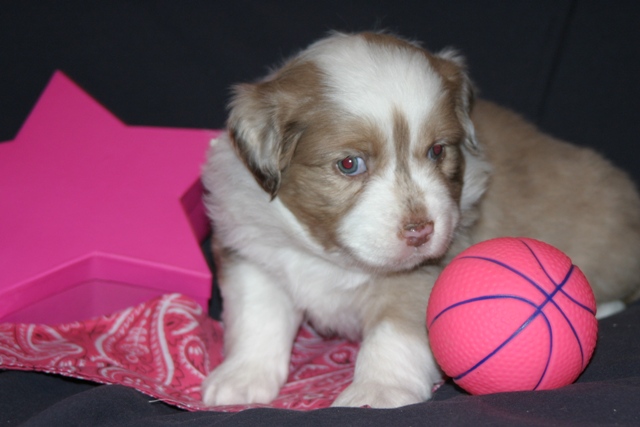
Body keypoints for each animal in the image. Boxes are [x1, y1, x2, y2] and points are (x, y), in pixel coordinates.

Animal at [201, 31, 640, 408]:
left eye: (437, 151)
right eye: (349, 164)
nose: (420, 231)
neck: (332, 256)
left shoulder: (422, 273)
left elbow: (392, 333)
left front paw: (377, 390)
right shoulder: (253, 252)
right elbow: (258, 318)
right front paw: (241, 379)